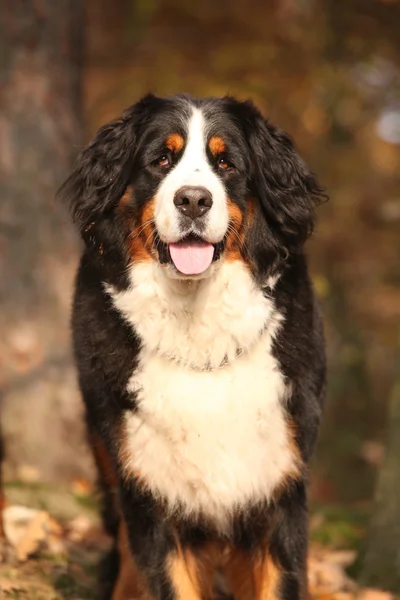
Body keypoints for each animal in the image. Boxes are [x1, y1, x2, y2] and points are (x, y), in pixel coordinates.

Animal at [60, 94, 328, 600]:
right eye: (161, 160)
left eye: (226, 164)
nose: (193, 200)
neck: (199, 334)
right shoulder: (152, 496)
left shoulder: (278, 490)